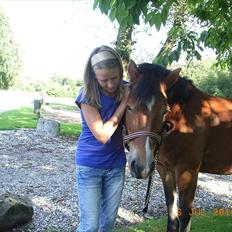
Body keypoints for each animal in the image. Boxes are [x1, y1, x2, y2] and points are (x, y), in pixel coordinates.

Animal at [125, 60, 232, 232]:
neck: (183, 120)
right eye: (129, 107)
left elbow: (185, 216)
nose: (141, 167)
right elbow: (172, 216)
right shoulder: (165, 171)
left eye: (164, 111)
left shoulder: (188, 172)